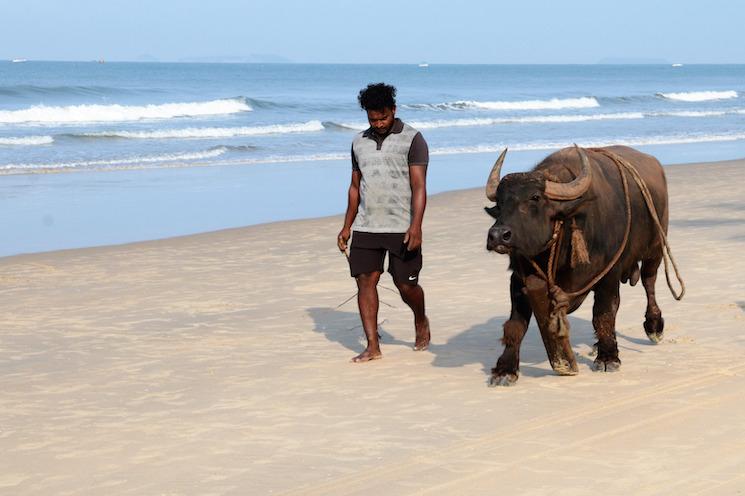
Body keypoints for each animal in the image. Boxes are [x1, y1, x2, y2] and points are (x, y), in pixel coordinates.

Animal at [482, 145, 676, 386]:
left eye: (535, 197)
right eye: (500, 204)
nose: (498, 235)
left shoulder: (609, 275)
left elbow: (603, 314)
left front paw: (608, 357)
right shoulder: (519, 280)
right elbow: (515, 325)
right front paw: (505, 370)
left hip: (655, 249)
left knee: (649, 284)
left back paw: (654, 326)